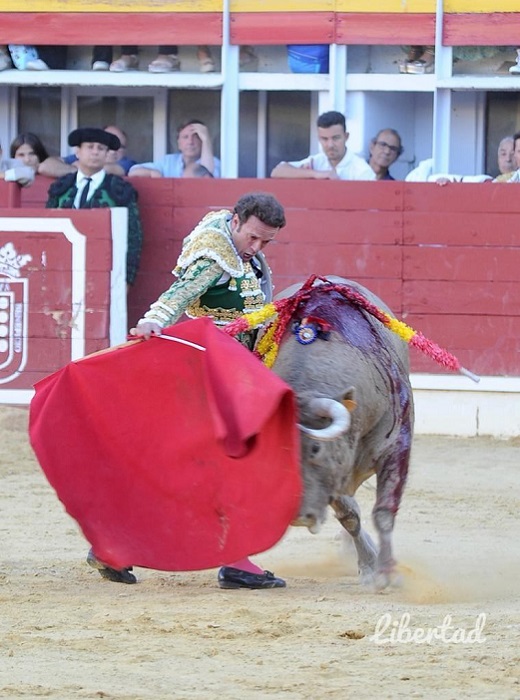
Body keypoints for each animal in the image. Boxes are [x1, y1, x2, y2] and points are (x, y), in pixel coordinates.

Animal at [272, 276, 414, 588]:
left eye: (315, 449)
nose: (297, 515)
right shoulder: (338, 467)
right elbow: (350, 515)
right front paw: (370, 565)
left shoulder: (398, 444)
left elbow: (384, 511)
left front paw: (387, 573)